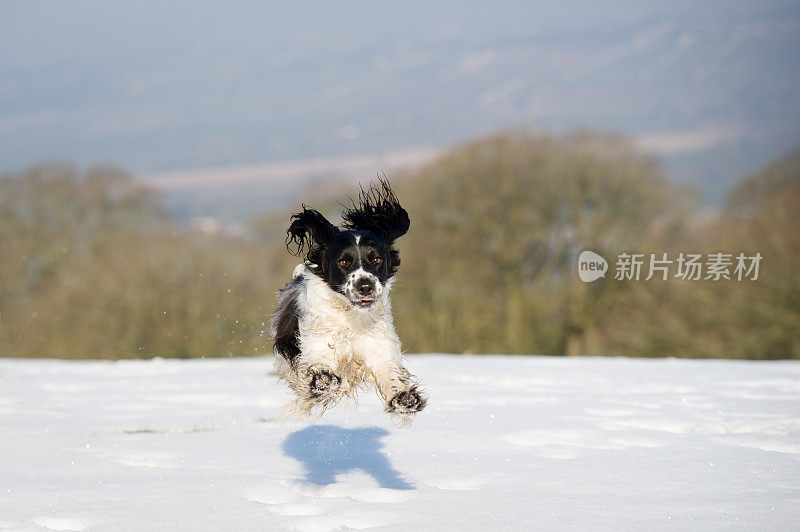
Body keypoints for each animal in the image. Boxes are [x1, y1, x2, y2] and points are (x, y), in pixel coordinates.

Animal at [272, 181, 428, 422]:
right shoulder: (317, 338)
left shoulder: (378, 343)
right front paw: (324, 380)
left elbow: (388, 369)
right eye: (344, 262)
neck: (351, 317)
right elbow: (320, 359)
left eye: (377, 259)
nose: (365, 286)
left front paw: (403, 398)